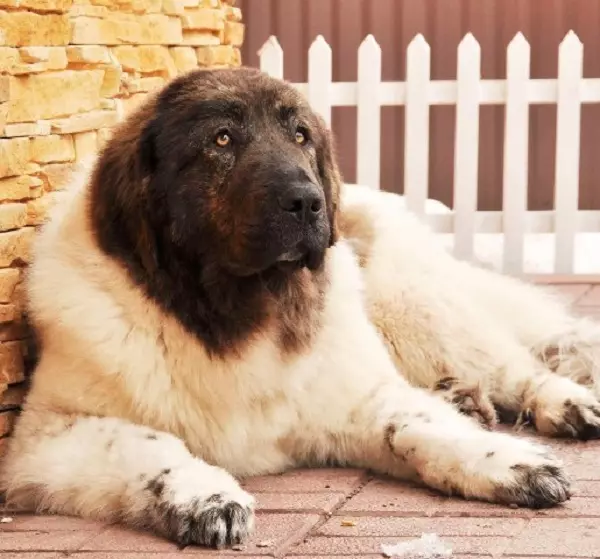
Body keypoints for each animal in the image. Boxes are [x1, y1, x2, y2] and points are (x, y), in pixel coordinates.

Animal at [4, 66, 600, 552]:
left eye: (300, 136)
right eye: (222, 139)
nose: (309, 201)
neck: (239, 312)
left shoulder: (354, 396)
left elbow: (414, 426)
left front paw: (512, 462)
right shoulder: (43, 437)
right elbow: (149, 444)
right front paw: (205, 494)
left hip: (415, 305)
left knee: (513, 366)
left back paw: (565, 403)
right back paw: (463, 397)